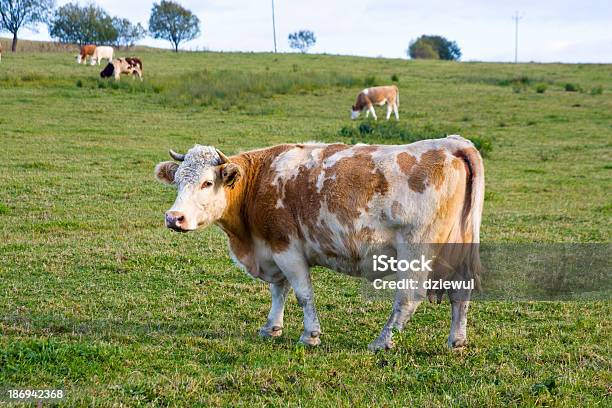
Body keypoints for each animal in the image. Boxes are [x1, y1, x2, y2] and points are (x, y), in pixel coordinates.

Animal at [155, 136, 486, 350]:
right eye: (178, 181)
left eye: (207, 182)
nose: (174, 218)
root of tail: (453, 144)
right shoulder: (273, 247)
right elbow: (279, 290)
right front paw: (272, 327)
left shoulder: (287, 248)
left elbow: (303, 295)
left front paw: (310, 335)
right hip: (459, 249)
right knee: (460, 295)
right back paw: (456, 341)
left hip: (415, 251)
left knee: (408, 298)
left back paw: (382, 341)